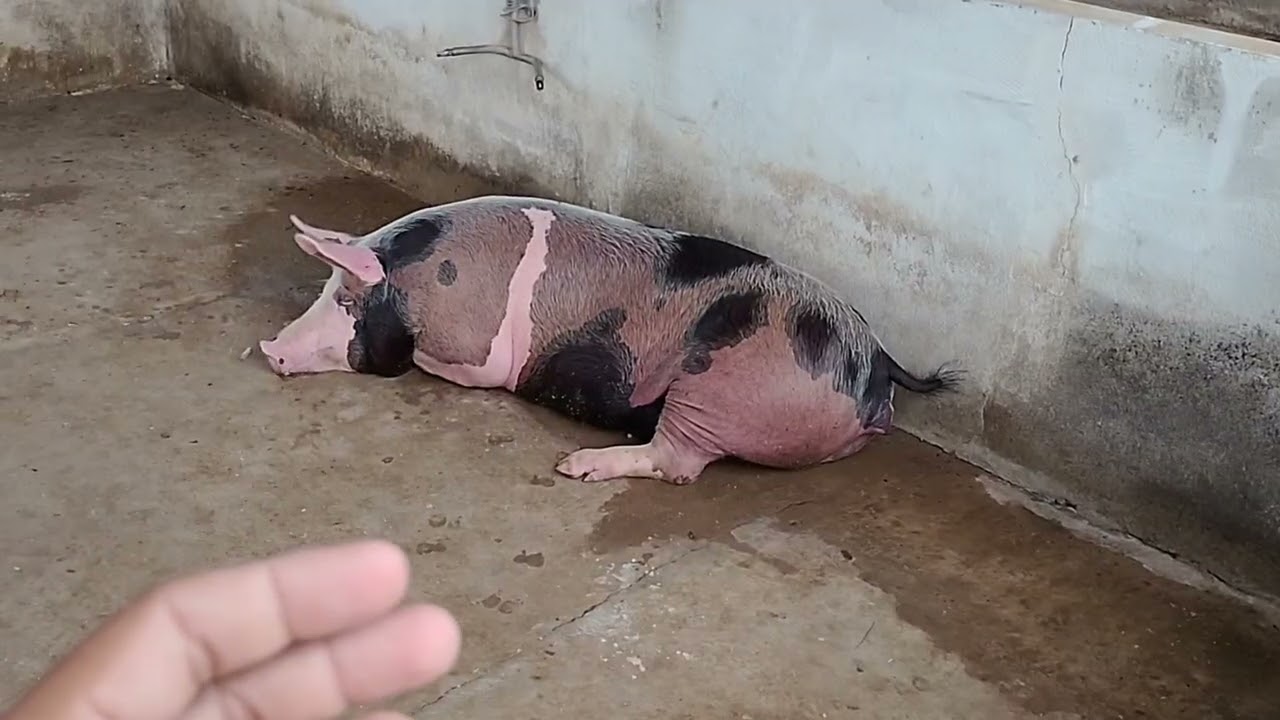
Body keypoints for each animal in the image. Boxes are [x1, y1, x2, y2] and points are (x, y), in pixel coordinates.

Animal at [260, 195, 960, 485]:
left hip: (715, 388)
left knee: (677, 463)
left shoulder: (477, 353)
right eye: (326, 287)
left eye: (346, 301)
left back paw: (576, 467)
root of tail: (875, 362)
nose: (268, 349)